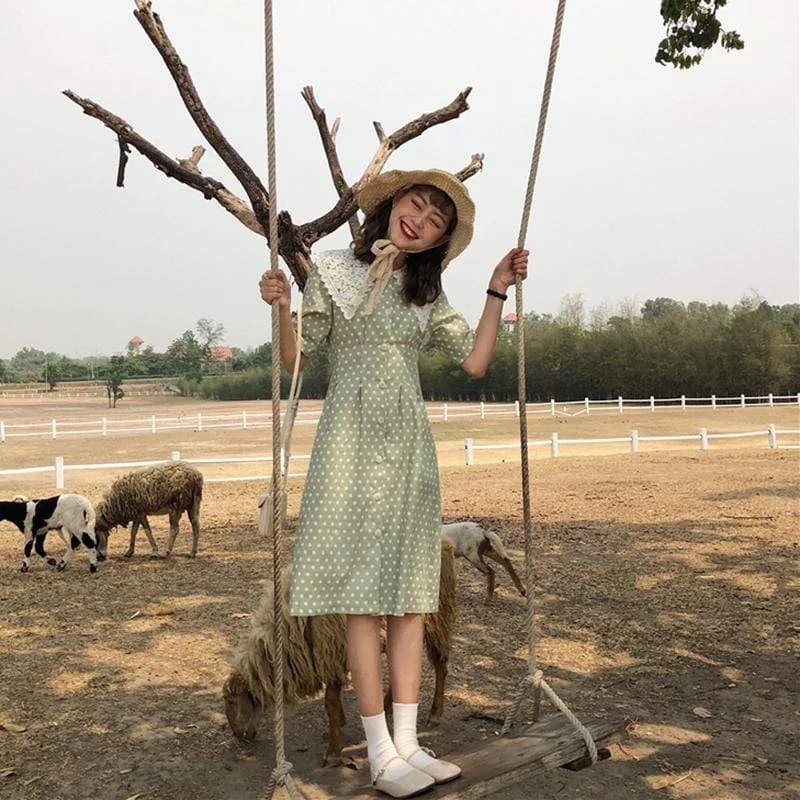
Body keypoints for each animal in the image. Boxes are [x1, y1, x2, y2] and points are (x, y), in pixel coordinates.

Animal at [222, 540, 456, 764]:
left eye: (232, 701)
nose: (239, 736)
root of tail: (446, 541)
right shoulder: (329, 655)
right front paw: (337, 727)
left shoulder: (332, 652)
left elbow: (330, 703)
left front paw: (333, 751)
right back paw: (388, 705)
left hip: (437, 616)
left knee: (440, 665)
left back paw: (435, 714)